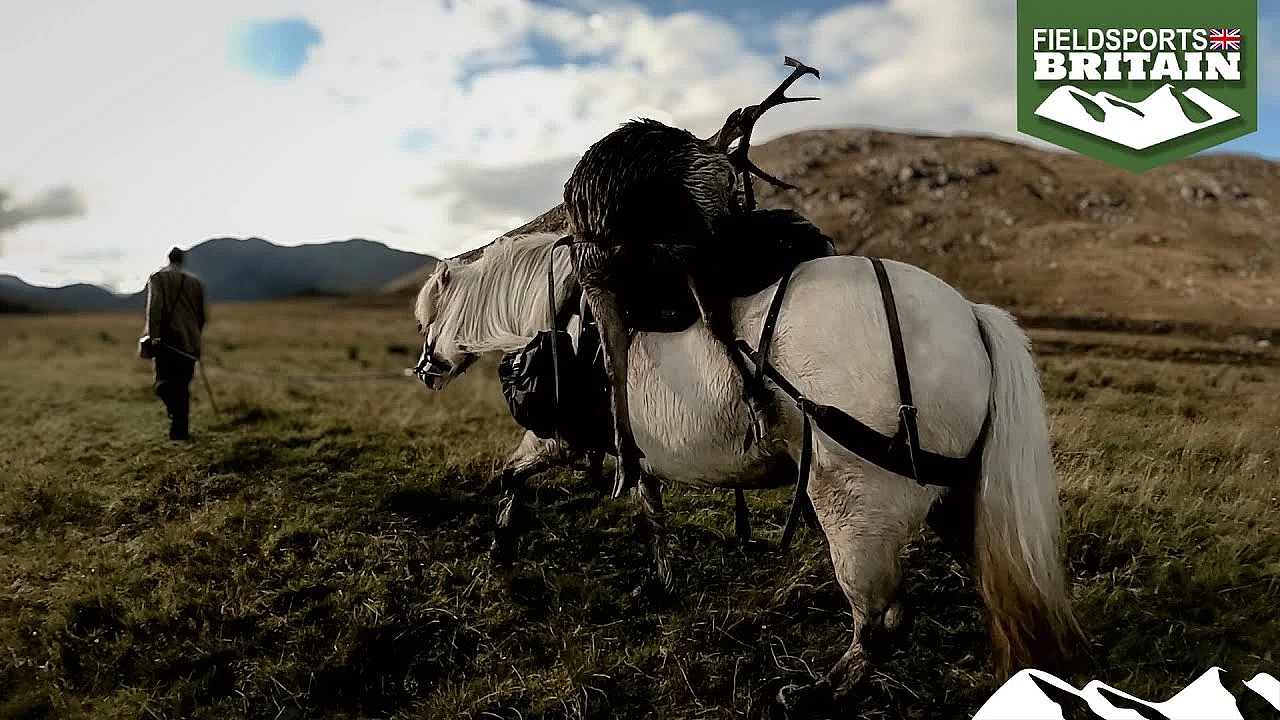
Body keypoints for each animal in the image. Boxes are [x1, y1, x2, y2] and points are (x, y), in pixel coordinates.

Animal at [411, 232, 1080, 709]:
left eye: (426, 319)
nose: (425, 370)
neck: (566, 314)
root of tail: (969, 316)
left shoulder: (563, 438)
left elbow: (511, 474)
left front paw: (500, 547)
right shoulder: (636, 454)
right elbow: (652, 514)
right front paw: (662, 582)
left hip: (857, 508)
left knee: (881, 620)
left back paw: (815, 694)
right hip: (959, 501)